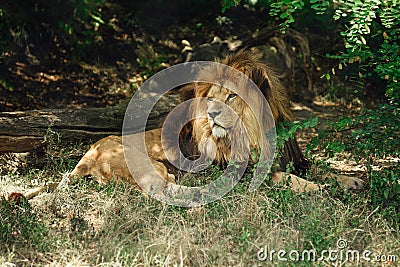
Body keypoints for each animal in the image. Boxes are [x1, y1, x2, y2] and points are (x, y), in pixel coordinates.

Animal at [69, 50, 366, 197]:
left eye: (232, 96)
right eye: (212, 97)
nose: (211, 113)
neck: (256, 133)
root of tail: (87, 156)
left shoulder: (295, 159)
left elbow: (320, 169)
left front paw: (351, 180)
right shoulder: (240, 170)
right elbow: (289, 179)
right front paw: (320, 189)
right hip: (149, 164)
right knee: (160, 188)